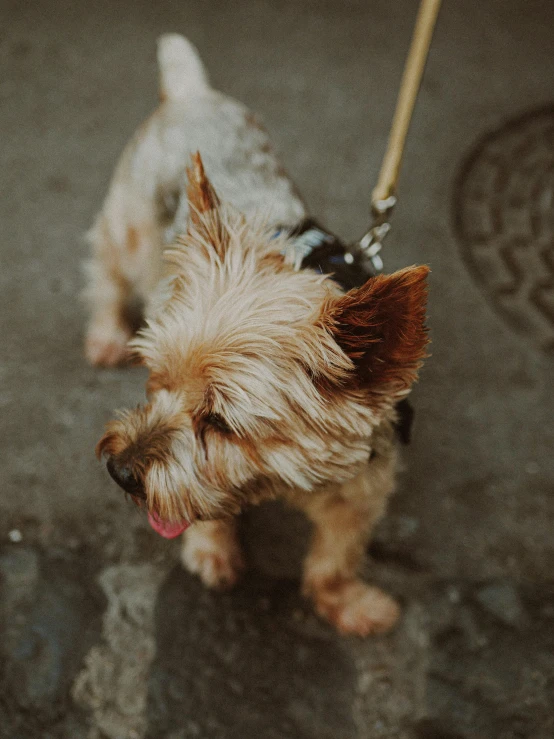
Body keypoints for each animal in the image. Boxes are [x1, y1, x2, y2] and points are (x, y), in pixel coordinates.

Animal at [86, 34, 426, 636]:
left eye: (221, 423)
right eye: (155, 379)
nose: (120, 470)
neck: (289, 480)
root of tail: (191, 92)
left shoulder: (363, 487)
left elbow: (336, 557)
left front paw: (349, 604)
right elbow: (194, 510)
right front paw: (211, 551)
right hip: (133, 221)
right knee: (108, 264)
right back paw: (105, 333)